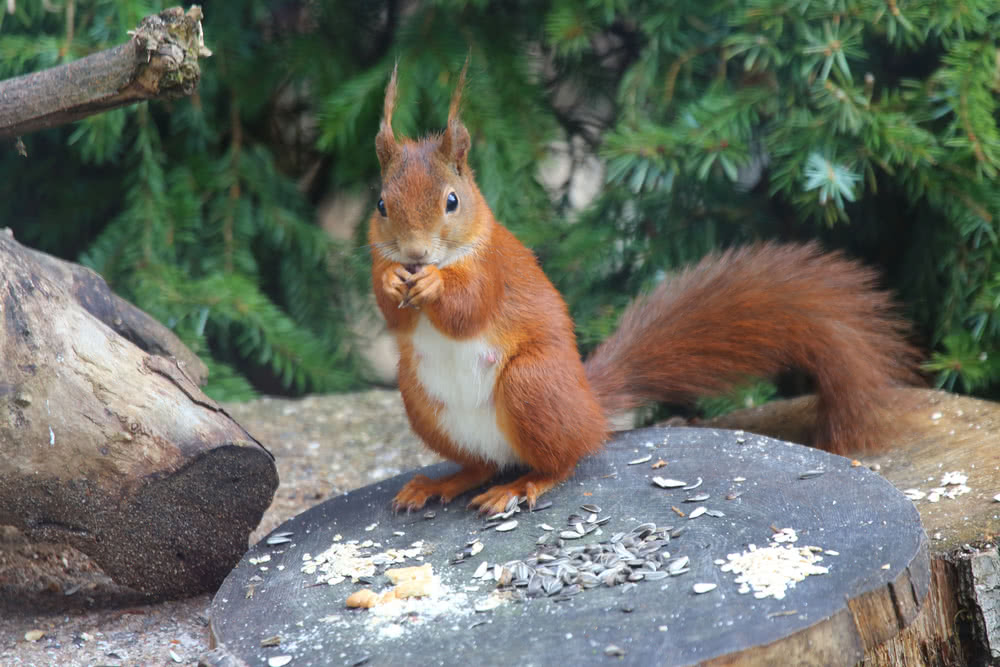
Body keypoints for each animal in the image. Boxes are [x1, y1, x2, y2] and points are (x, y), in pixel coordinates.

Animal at [370, 65, 920, 516]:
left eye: (452, 201)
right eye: (380, 204)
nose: (415, 252)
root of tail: (590, 408)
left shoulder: (494, 271)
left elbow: (469, 307)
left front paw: (435, 284)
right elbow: (389, 310)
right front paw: (393, 280)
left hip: (532, 384)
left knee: (562, 461)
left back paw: (522, 485)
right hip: (422, 400)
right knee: (482, 463)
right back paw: (439, 484)